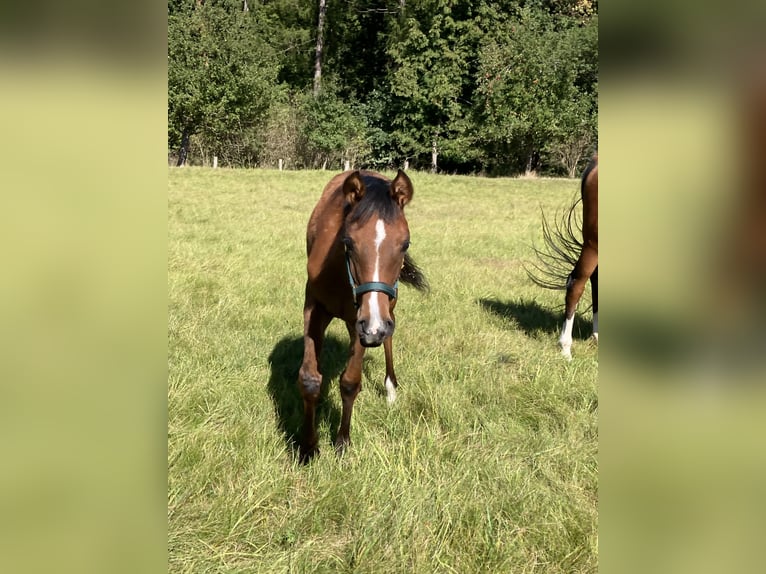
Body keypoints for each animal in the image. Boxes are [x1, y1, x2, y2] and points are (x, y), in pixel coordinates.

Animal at [298, 169, 428, 462]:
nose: (374, 328)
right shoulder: (315, 309)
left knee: (390, 335)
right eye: (348, 242)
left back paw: (390, 388)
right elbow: (310, 379)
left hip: (384, 309)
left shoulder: (366, 322)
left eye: (405, 244)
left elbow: (350, 382)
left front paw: (342, 442)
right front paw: (308, 448)